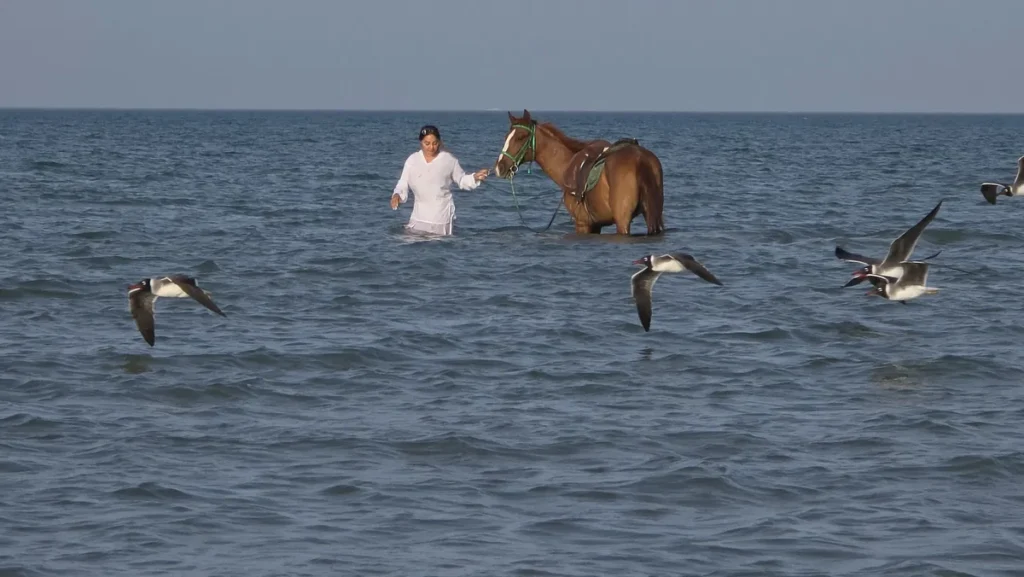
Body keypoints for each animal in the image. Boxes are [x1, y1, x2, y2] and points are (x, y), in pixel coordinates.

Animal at [492, 109, 665, 236]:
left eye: (521, 137)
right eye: (506, 136)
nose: (500, 166)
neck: (567, 163)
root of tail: (640, 157)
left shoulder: (582, 224)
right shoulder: (595, 225)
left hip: (623, 221)